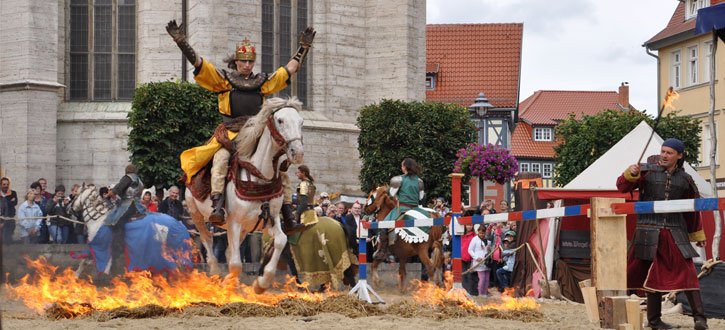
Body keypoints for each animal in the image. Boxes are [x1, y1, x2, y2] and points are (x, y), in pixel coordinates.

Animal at [185, 96, 304, 292]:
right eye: (280, 120)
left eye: (301, 122)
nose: (298, 153)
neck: (259, 176)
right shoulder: (234, 222)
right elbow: (236, 264)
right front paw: (230, 282)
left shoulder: (270, 220)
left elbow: (281, 240)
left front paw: (261, 283)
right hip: (196, 213)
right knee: (207, 239)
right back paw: (215, 272)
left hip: (245, 229)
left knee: (227, 250)